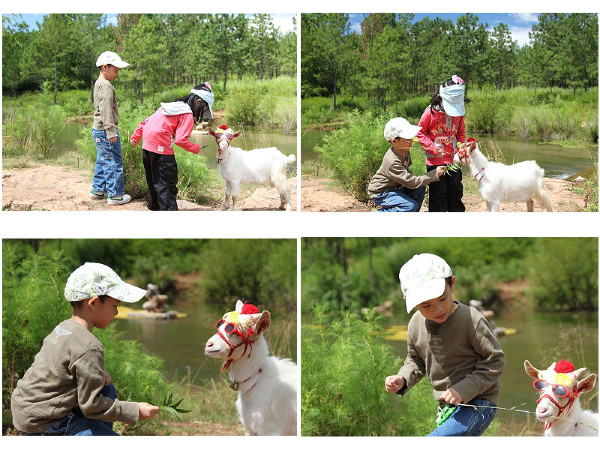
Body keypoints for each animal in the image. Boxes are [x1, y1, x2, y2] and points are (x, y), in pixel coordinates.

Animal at [205, 300, 296, 434]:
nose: (208, 345)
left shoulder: (270, 429)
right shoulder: (251, 429)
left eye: (236, 332)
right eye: (220, 326)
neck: (257, 379)